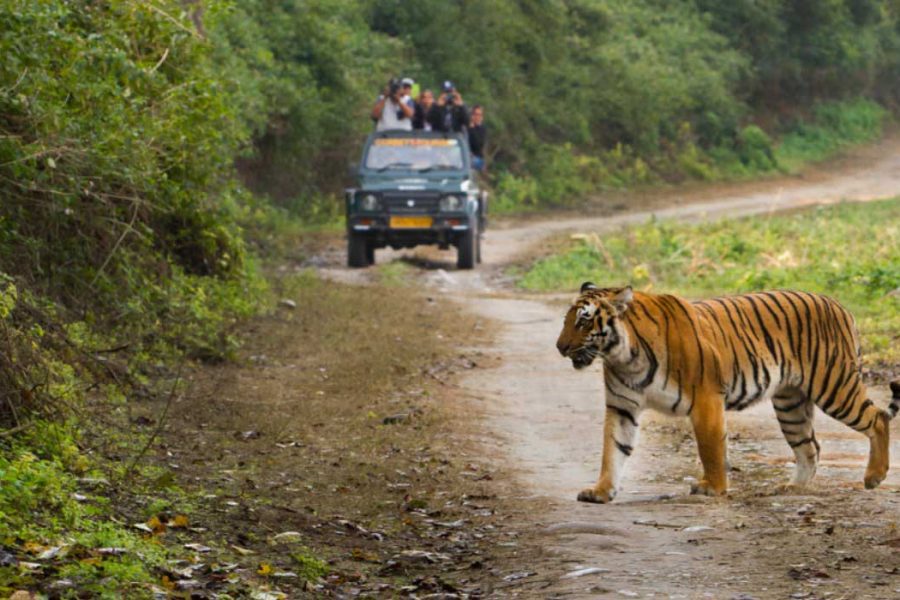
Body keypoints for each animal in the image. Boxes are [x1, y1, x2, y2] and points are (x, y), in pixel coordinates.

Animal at [556, 284, 900, 504]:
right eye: (566, 320)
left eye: (584, 321)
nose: (560, 347)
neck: (623, 356)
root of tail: (839, 305)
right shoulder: (622, 407)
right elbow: (613, 450)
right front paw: (601, 491)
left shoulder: (706, 398)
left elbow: (710, 448)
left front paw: (713, 487)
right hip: (790, 404)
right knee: (810, 446)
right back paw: (791, 489)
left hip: (834, 385)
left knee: (878, 418)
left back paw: (874, 476)